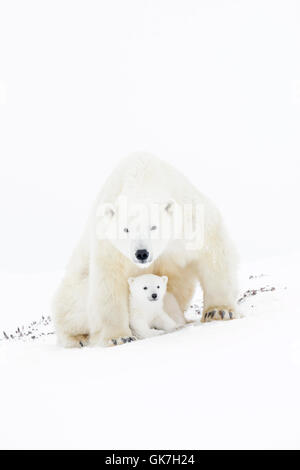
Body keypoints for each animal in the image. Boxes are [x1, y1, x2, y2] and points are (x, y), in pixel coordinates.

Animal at [51, 152, 239, 346]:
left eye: (154, 227)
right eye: (126, 229)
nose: (141, 253)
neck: (143, 174)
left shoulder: (190, 218)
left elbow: (213, 252)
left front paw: (219, 311)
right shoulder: (109, 244)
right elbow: (109, 282)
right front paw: (119, 337)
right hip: (74, 288)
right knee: (71, 306)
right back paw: (78, 338)